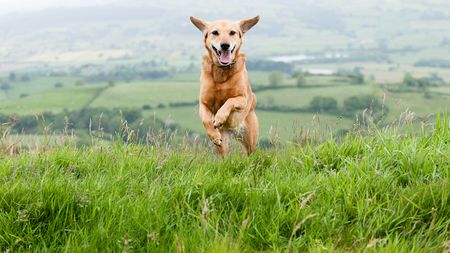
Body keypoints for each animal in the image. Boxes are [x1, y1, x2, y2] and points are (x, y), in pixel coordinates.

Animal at [190, 15, 260, 156]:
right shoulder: (203, 103)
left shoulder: (242, 99)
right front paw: (214, 134)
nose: (225, 45)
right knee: (224, 155)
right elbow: (206, 120)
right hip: (223, 144)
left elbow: (229, 101)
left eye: (232, 32)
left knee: (251, 152)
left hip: (250, 138)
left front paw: (220, 118)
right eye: (215, 32)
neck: (222, 70)